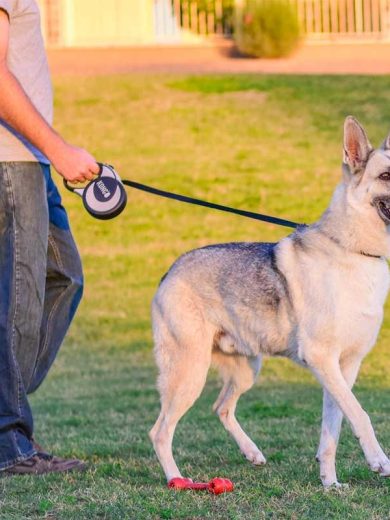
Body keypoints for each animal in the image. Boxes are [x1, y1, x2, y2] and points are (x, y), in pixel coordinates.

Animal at [149, 117, 390, 488]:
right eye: (386, 176)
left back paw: (252, 453)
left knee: (221, 408)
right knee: (160, 431)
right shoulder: (323, 360)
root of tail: (171, 270)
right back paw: (177, 480)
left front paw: (329, 482)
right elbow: (360, 415)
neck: (354, 250)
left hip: (248, 369)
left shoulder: (344, 368)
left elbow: (333, 428)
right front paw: (379, 461)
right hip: (189, 373)